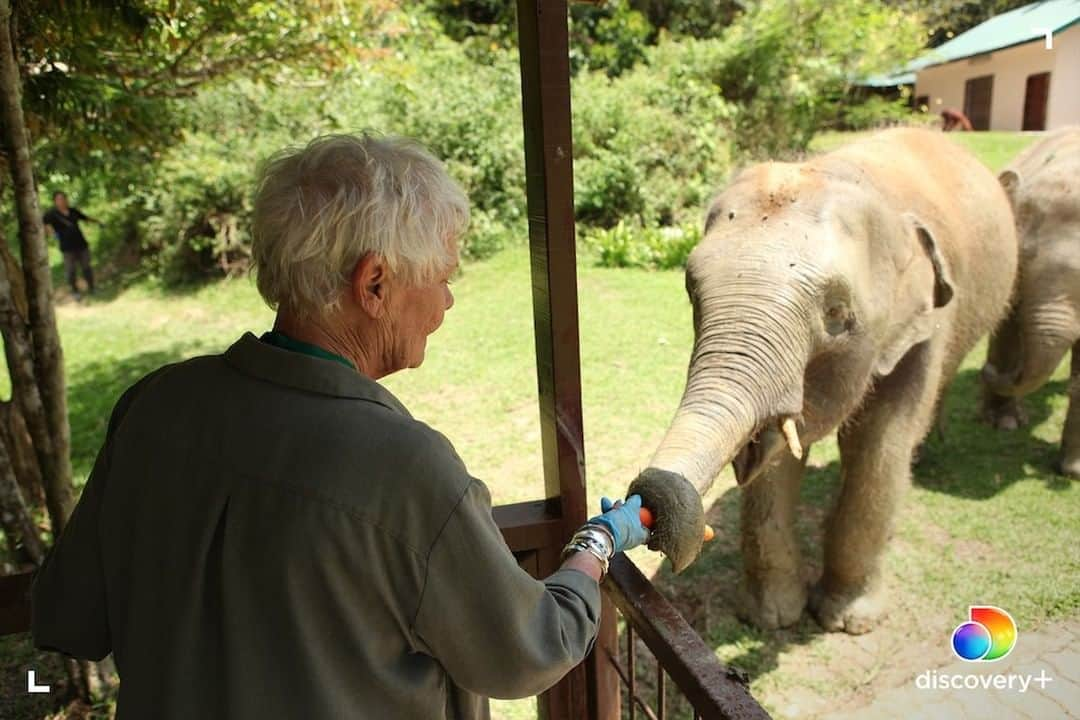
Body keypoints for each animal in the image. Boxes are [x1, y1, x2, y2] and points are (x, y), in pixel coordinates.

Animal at [630, 126, 1015, 634]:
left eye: (836, 314)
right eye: (692, 290)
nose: (649, 498)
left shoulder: (927, 323)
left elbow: (880, 445)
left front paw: (848, 622)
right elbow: (777, 457)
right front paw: (771, 618)